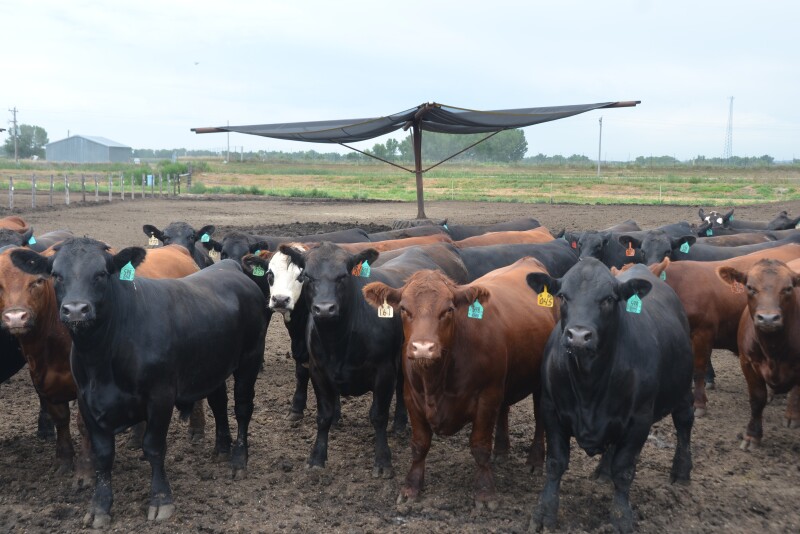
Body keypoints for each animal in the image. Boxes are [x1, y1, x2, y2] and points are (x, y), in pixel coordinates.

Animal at [10, 238, 267, 527]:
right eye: (56, 275)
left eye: (102, 273)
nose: (76, 310)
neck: (102, 358)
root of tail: (229, 266)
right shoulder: (87, 401)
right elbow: (103, 454)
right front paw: (99, 506)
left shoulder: (160, 396)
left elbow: (153, 447)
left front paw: (161, 500)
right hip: (213, 365)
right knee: (219, 404)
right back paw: (221, 448)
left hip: (250, 358)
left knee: (242, 408)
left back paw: (238, 460)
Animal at [362, 257, 558, 509]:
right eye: (404, 309)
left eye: (448, 310)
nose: (423, 348)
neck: (436, 380)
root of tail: (528, 261)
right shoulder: (411, 397)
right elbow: (419, 445)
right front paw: (411, 488)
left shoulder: (487, 397)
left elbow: (480, 446)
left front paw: (485, 493)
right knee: (505, 410)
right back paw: (502, 451)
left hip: (540, 380)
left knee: (540, 416)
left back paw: (535, 460)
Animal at [526, 259, 694, 533]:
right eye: (562, 296)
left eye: (608, 299)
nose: (579, 336)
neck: (589, 385)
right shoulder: (551, 409)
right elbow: (555, 463)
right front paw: (544, 511)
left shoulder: (639, 420)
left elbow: (624, 470)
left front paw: (621, 518)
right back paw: (603, 472)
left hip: (683, 389)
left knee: (684, 425)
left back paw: (681, 472)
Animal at [717, 259, 800, 449]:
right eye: (750, 287)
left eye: (788, 288)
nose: (768, 319)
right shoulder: (747, 362)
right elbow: (757, 399)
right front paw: (752, 435)